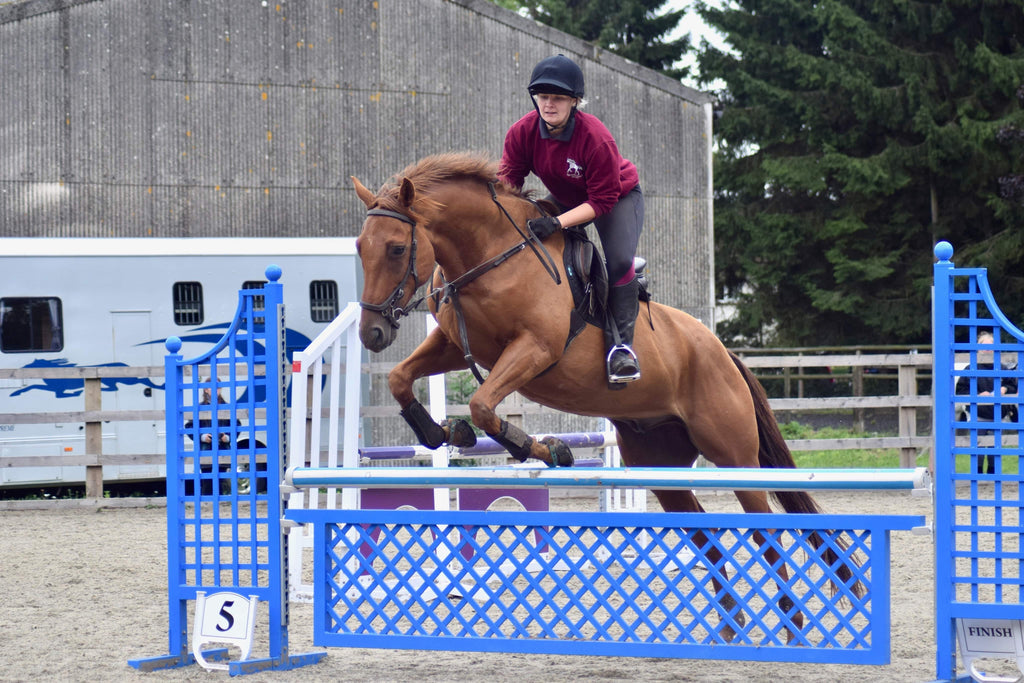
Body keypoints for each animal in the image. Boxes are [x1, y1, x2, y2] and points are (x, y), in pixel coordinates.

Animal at [354, 149, 864, 643]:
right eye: (360, 247)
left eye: (397, 248)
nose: (371, 333)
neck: (491, 256)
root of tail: (722, 353)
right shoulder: (454, 345)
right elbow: (400, 379)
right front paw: (441, 431)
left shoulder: (534, 349)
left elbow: (483, 405)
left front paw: (547, 450)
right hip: (660, 466)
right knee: (707, 534)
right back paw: (730, 623)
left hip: (735, 457)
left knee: (767, 533)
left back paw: (791, 624)